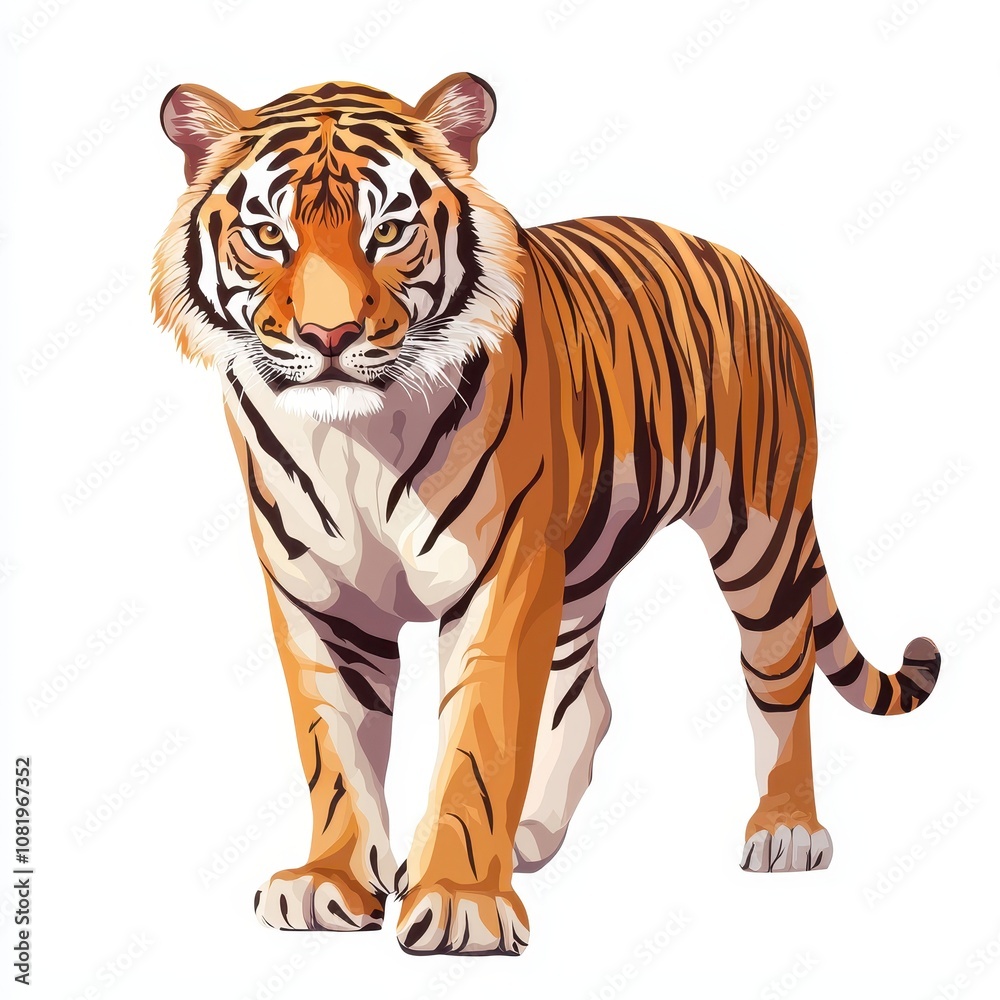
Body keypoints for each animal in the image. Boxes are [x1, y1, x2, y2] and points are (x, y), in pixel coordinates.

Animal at [152, 73, 941, 956]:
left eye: (388, 231)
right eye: (268, 233)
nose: (330, 335)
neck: (353, 442)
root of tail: (745, 268)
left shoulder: (499, 577)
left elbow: (478, 741)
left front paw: (460, 900)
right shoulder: (320, 600)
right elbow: (335, 750)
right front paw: (330, 882)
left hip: (758, 535)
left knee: (780, 675)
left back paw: (786, 829)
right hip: (580, 568)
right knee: (586, 699)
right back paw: (529, 836)